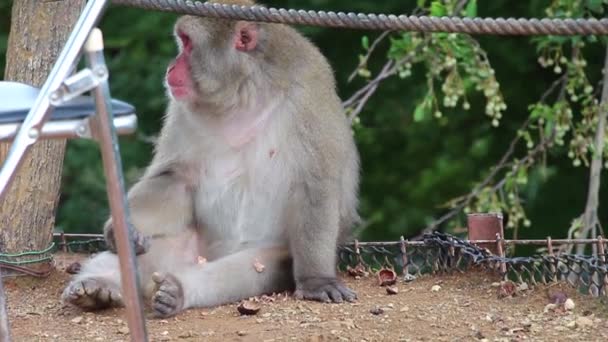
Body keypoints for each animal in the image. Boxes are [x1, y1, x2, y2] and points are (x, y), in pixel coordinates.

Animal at [63, 0, 360, 318]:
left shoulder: (308, 99)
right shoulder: (182, 110)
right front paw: (123, 231)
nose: (172, 67)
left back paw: (177, 292)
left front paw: (317, 281)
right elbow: (175, 176)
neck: (244, 93)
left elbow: (315, 184)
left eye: (188, 43)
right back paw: (99, 287)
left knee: (246, 268)